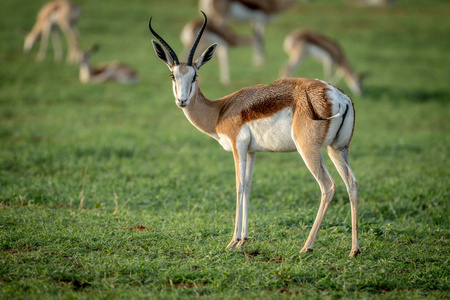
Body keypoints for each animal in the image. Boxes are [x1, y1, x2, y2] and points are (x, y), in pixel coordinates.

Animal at [149, 10, 360, 256]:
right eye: (173, 76)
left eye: (194, 76)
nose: (181, 100)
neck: (220, 110)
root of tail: (338, 95)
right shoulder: (252, 151)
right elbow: (248, 186)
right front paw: (244, 240)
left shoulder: (237, 146)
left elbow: (239, 186)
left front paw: (233, 241)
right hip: (338, 148)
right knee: (352, 184)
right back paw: (354, 250)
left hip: (309, 150)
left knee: (328, 186)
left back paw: (306, 246)